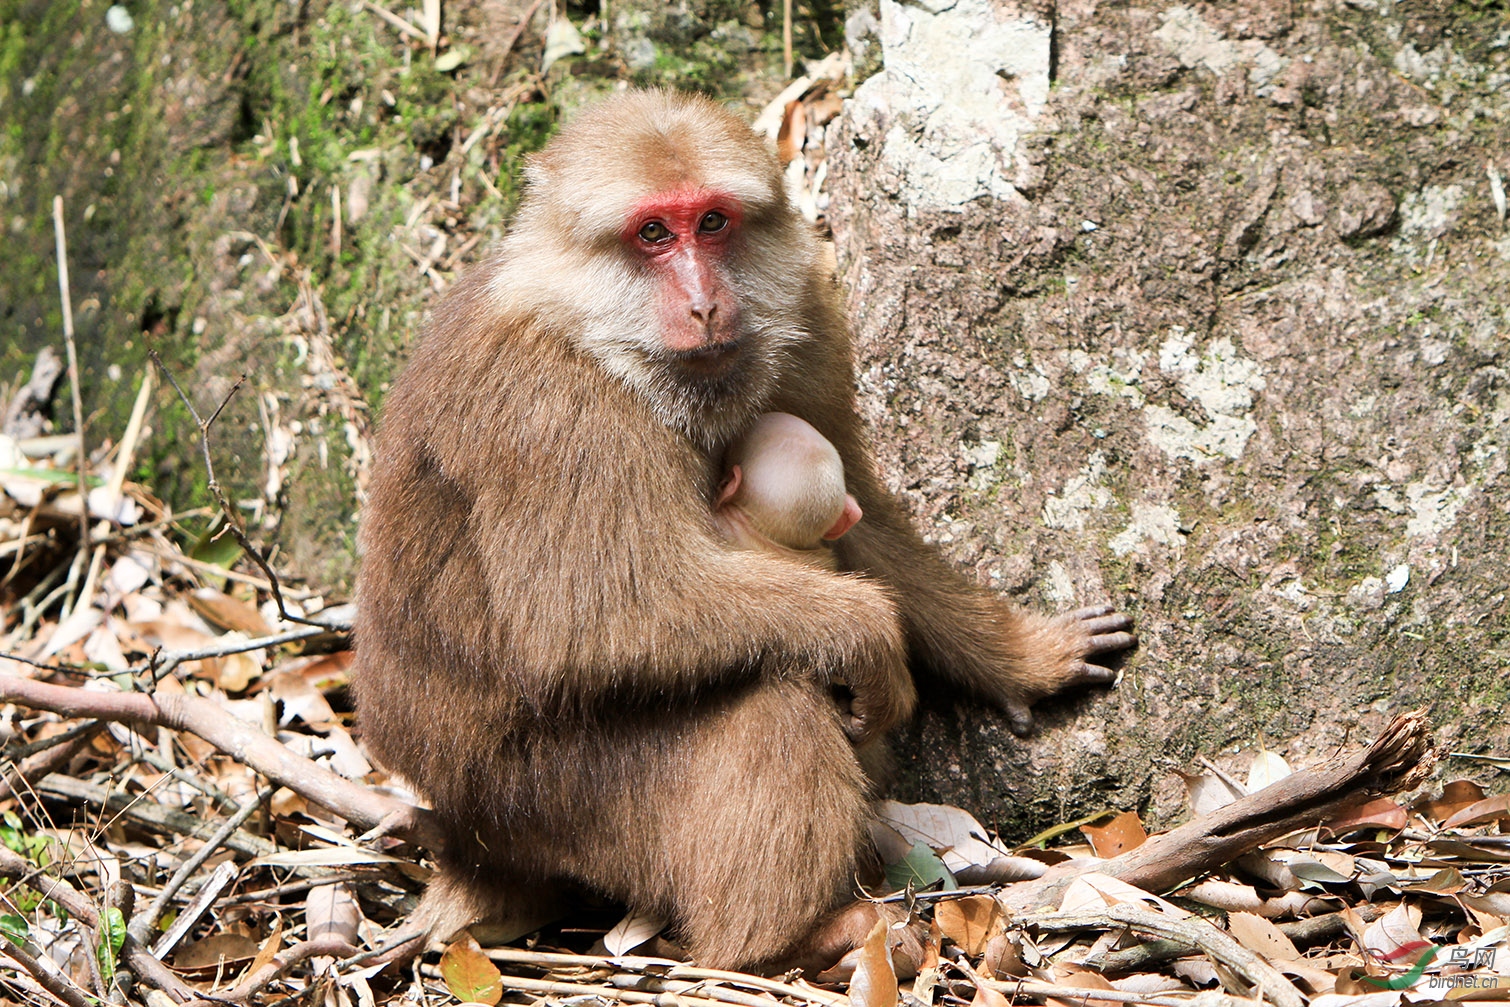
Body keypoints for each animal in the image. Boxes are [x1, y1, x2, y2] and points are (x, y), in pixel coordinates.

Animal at [353, 90, 1135, 972]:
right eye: (653, 234)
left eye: (713, 221)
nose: (705, 304)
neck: (597, 333)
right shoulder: (555, 412)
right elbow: (589, 620)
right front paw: (871, 632)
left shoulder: (807, 318)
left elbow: (859, 511)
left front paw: (1018, 657)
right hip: (538, 796)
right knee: (772, 701)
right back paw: (777, 941)